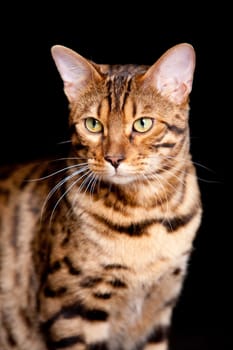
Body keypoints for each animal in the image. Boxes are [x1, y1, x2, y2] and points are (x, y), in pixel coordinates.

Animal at [0, 43, 202, 350]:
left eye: (143, 124)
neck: (146, 216)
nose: (114, 159)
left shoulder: (157, 310)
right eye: (93, 125)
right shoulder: (70, 309)